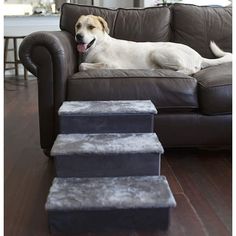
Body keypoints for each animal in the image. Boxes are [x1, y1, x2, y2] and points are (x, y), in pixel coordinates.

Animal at [75, 14, 232, 75]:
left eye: (91, 27)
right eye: (78, 26)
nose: (78, 36)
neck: (98, 44)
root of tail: (198, 55)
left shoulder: (111, 65)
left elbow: (81, 65)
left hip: (158, 52)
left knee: (191, 69)